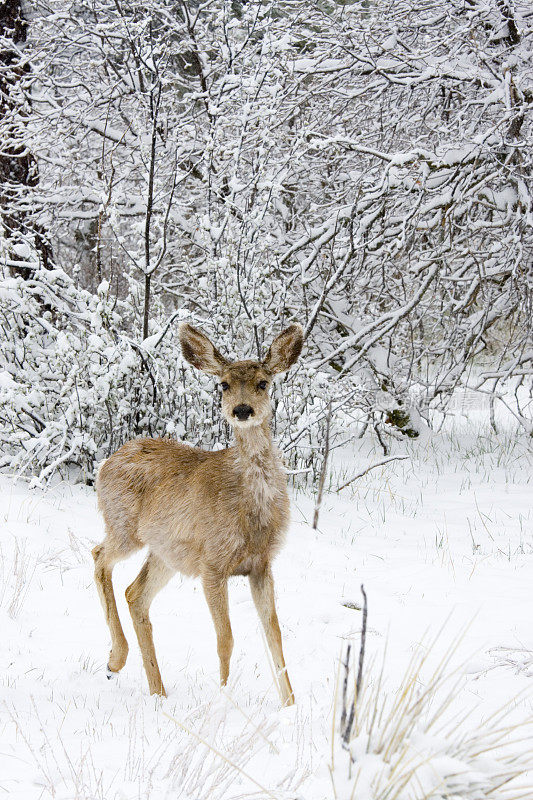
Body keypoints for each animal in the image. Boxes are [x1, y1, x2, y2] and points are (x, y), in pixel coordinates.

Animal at [90, 318, 304, 708]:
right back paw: (116, 660)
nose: (242, 410)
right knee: (99, 556)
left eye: (263, 383)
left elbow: (275, 635)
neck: (251, 511)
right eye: (223, 384)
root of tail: (107, 462)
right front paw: (223, 697)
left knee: (134, 593)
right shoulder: (213, 564)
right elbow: (226, 639)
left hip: (166, 552)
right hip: (124, 526)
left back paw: (157, 691)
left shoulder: (261, 565)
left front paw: (290, 706)